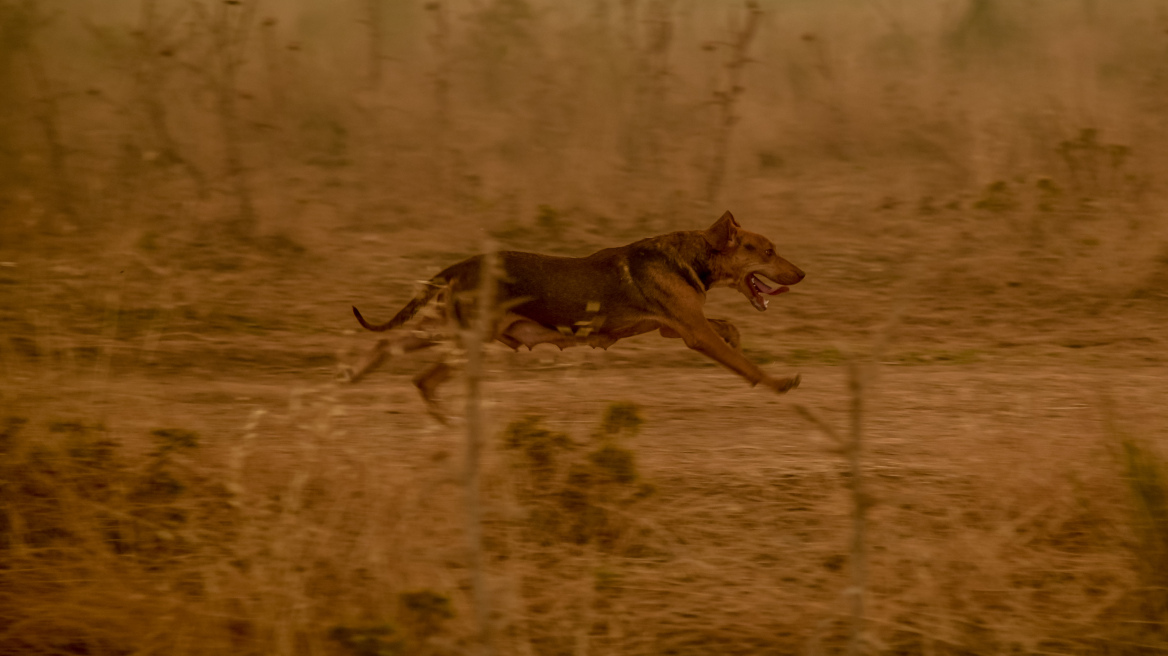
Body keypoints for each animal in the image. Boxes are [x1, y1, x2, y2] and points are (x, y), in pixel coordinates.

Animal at [345, 210, 803, 417]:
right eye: (767, 252)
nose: (801, 274)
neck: (692, 255)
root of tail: (460, 265)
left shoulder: (674, 328)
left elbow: (730, 329)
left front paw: (737, 338)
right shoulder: (694, 332)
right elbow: (747, 366)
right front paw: (778, 383)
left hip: (446, 329)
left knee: (389, 345)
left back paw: (355, 377)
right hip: (469, 338)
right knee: (423, 378)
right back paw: (446, 420)